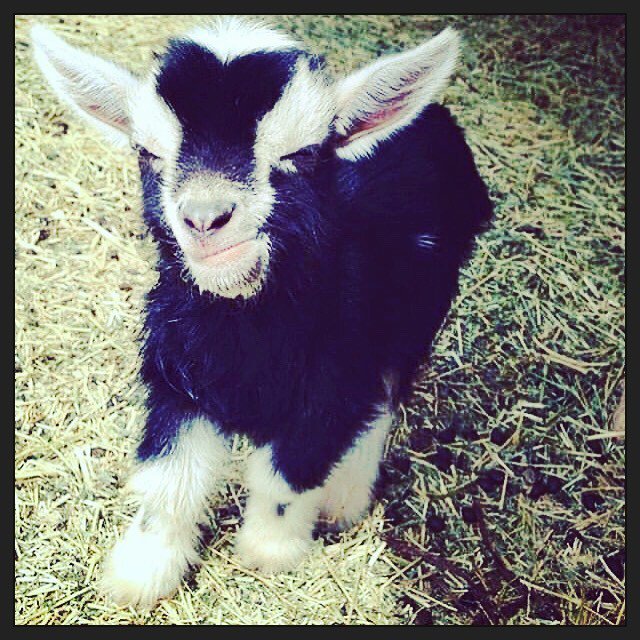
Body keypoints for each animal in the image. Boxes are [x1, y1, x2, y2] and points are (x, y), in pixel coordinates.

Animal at [32, 17, 492, 607]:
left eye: (300, 153)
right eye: (149, 153)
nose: (206, 218)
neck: (245, 332)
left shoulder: (328, 380)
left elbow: (287, 474)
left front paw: (268, 552)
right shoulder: (179, 373)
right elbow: (171, 476)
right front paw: (142, 572)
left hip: (420, 304)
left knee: (386, 392)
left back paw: (347, 496)